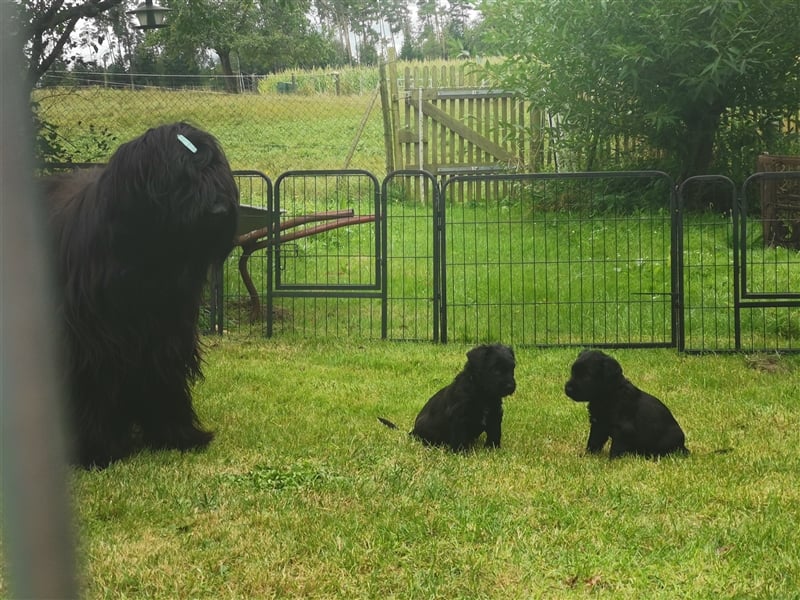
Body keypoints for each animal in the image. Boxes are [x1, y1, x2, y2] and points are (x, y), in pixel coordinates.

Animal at [42, 123, 239, 468]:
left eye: (215, 169)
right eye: (181, 176)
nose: (219, 210)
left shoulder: (166, 332)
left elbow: (164, 375)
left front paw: (177, 434)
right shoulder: (91, 340)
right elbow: (93, 383)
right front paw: (97, 449)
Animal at [378, 342, 516, 450]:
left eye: (512, 368)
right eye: (495, 369)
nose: (510, 386)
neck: (482, 393)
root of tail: (412, 432)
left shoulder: (495, 415)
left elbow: (494, 433)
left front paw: (492, 449)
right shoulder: (459, 417)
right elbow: (460, 436)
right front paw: (461, 452)